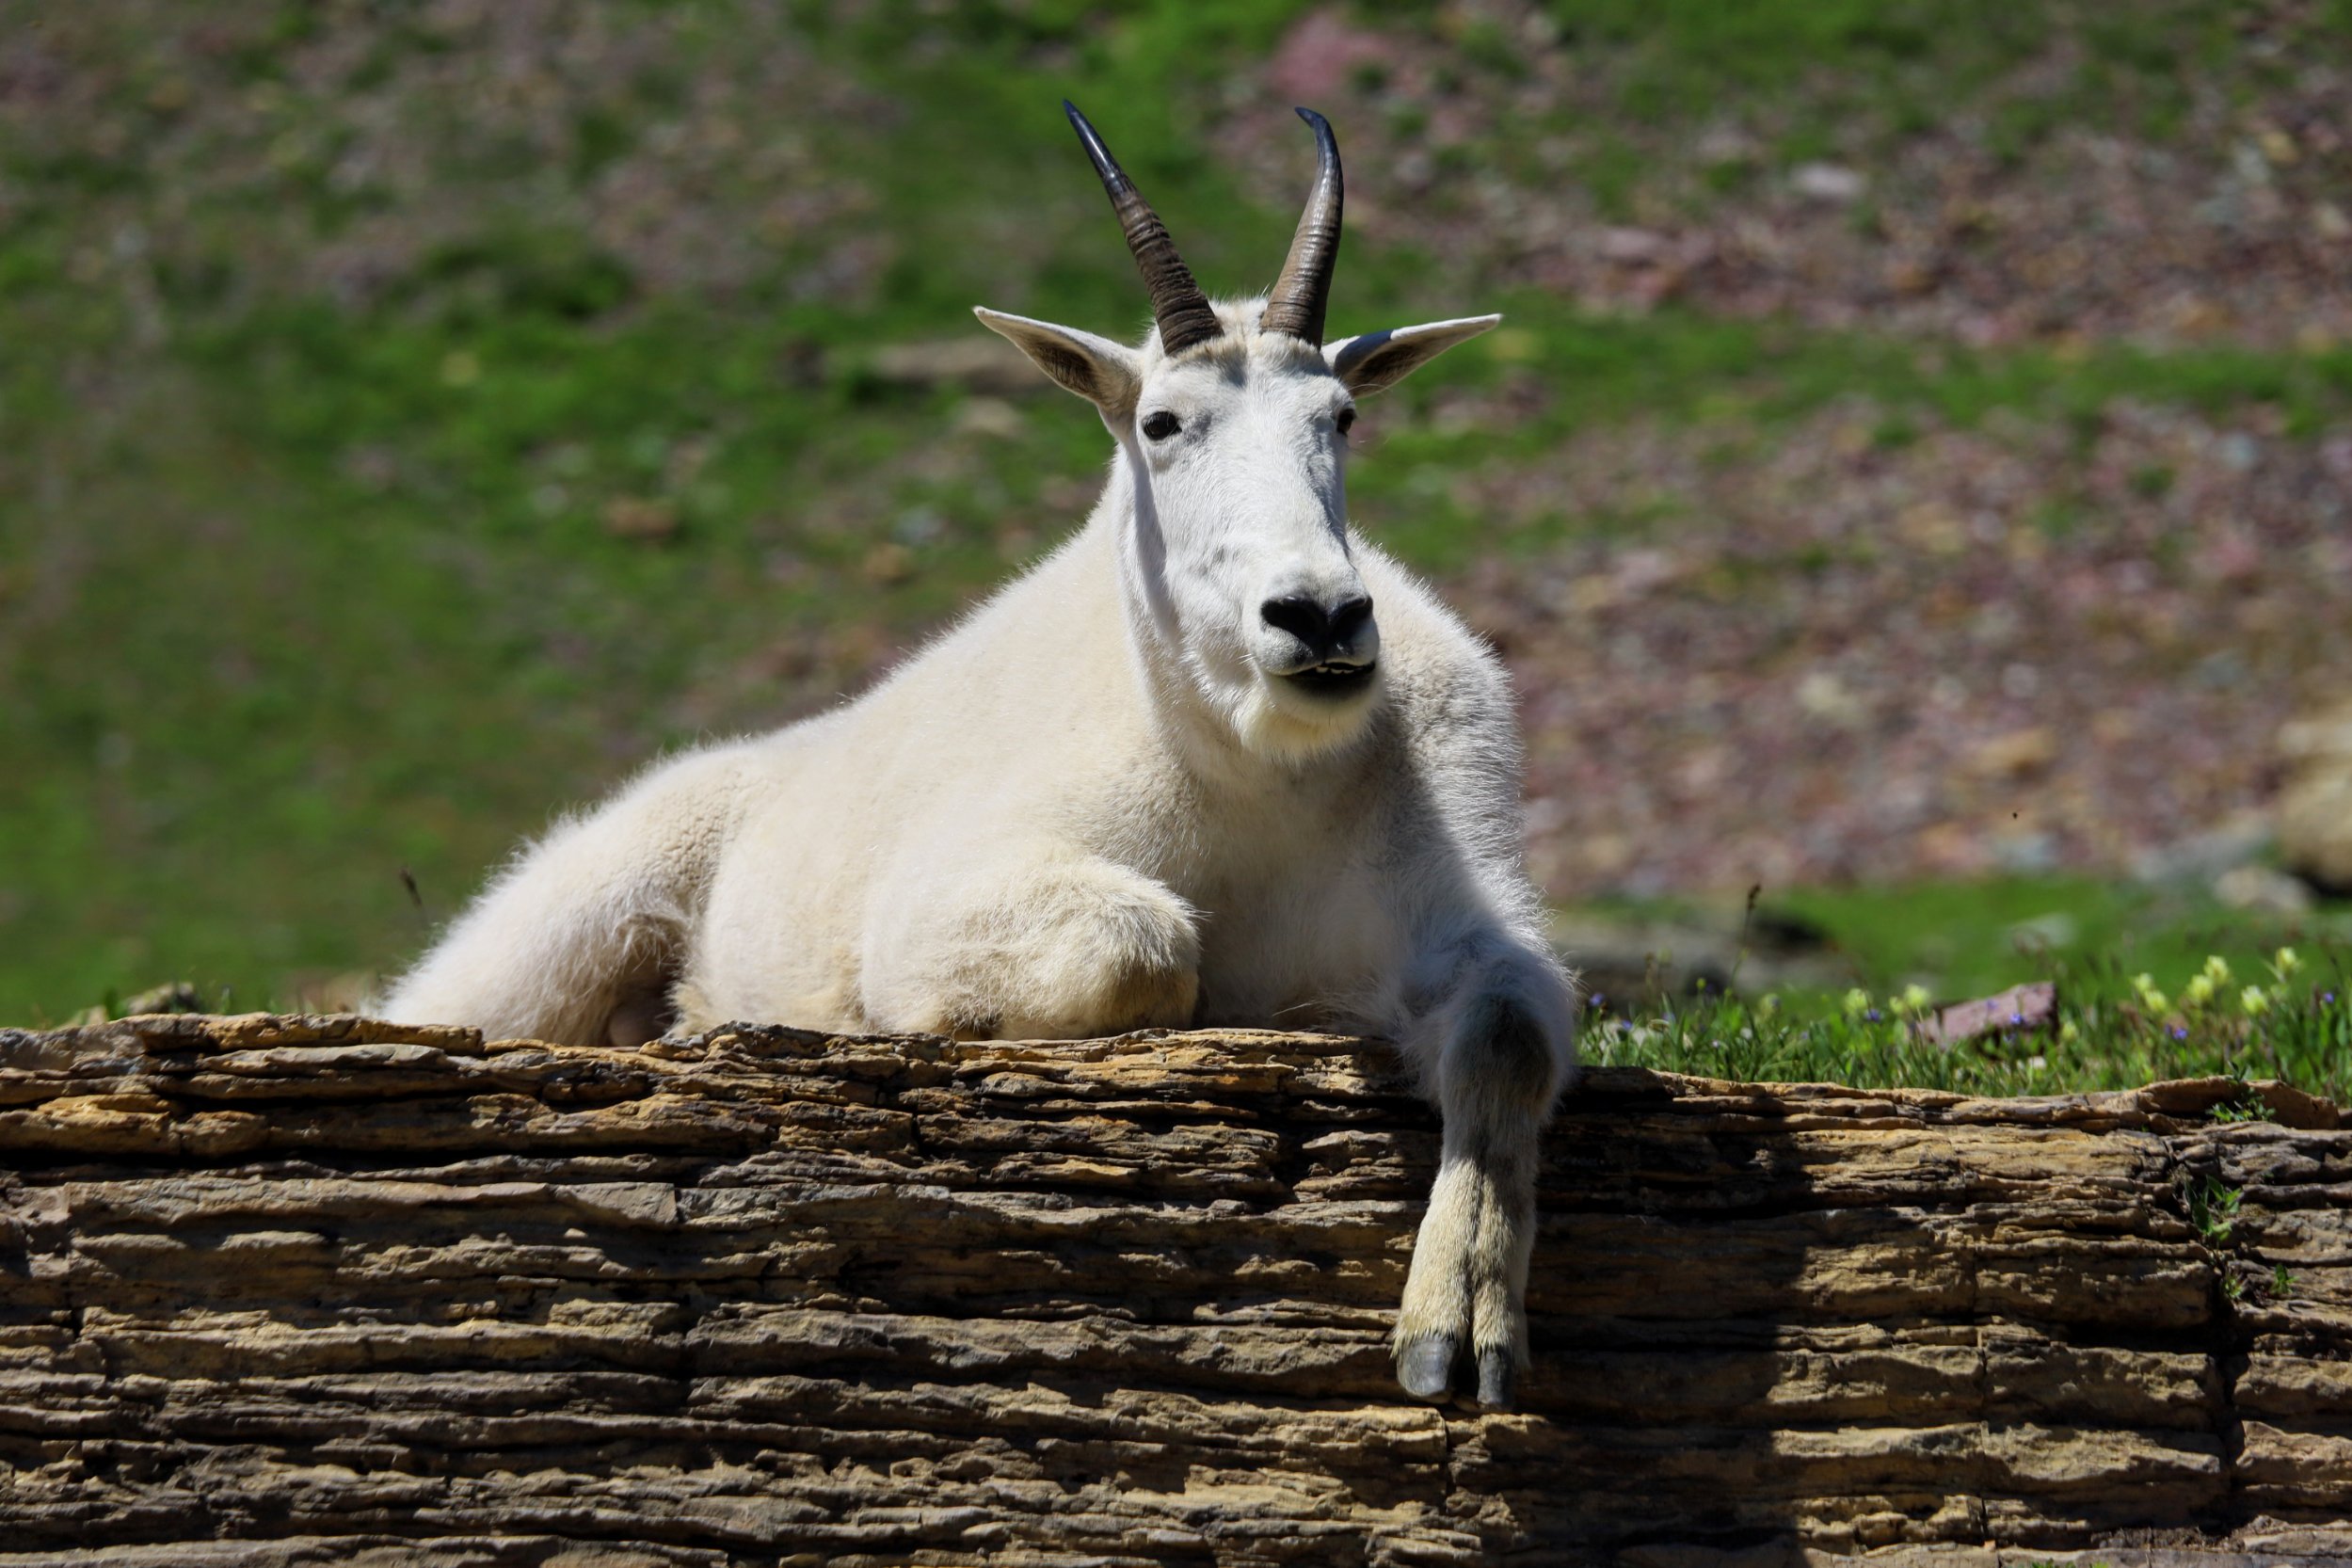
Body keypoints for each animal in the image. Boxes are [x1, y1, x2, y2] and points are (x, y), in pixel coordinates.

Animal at [390, 107, 1580, 1410]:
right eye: (1161, 423)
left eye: (1342, 420)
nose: (1318, 620)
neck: (1257, 779)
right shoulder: (952, 895)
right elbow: (1145, 950)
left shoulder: (1446, 906)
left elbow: (1509, 1033)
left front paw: (1459, 1324)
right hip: (572, 913)